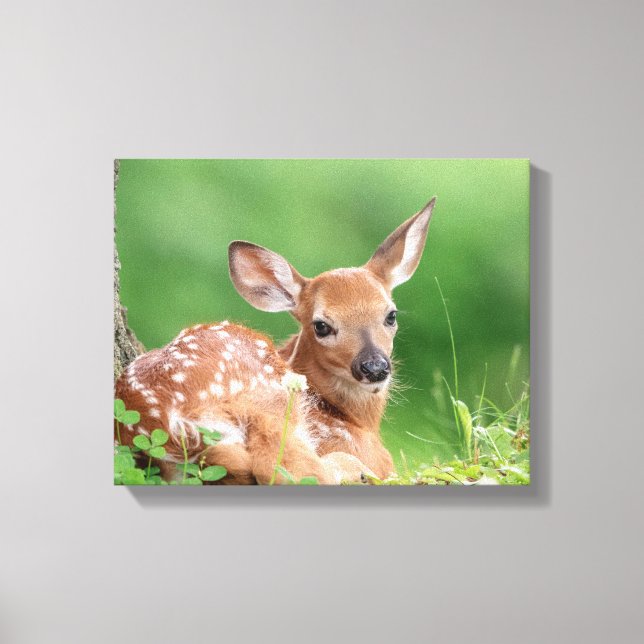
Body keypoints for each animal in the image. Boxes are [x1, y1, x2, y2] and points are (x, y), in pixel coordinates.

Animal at [114, 197, 436, 484]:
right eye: (321, 326)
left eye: (391, 315)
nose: (374, 367)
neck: (352, 419)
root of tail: (174, 427)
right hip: (269, 400)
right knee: (288, 469)